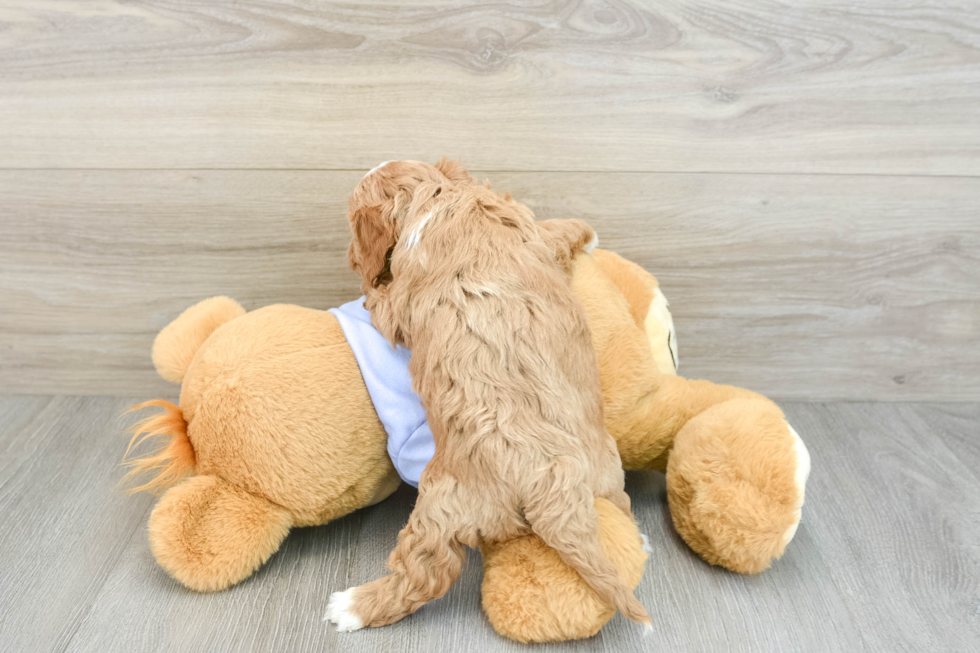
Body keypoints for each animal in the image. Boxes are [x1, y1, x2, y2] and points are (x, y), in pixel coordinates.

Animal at [324, 159, 652, 632]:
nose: (350, 258)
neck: (441, 194)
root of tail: (549, 485)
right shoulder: (528, 227)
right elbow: (557, 229)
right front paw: (588, 236)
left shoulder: (403, 299)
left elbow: (384, 304)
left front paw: (368, 293)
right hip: (606, 467)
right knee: (619, 503)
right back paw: (640, 538)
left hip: (441, 506)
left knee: (424, 574)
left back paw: (352, 606)